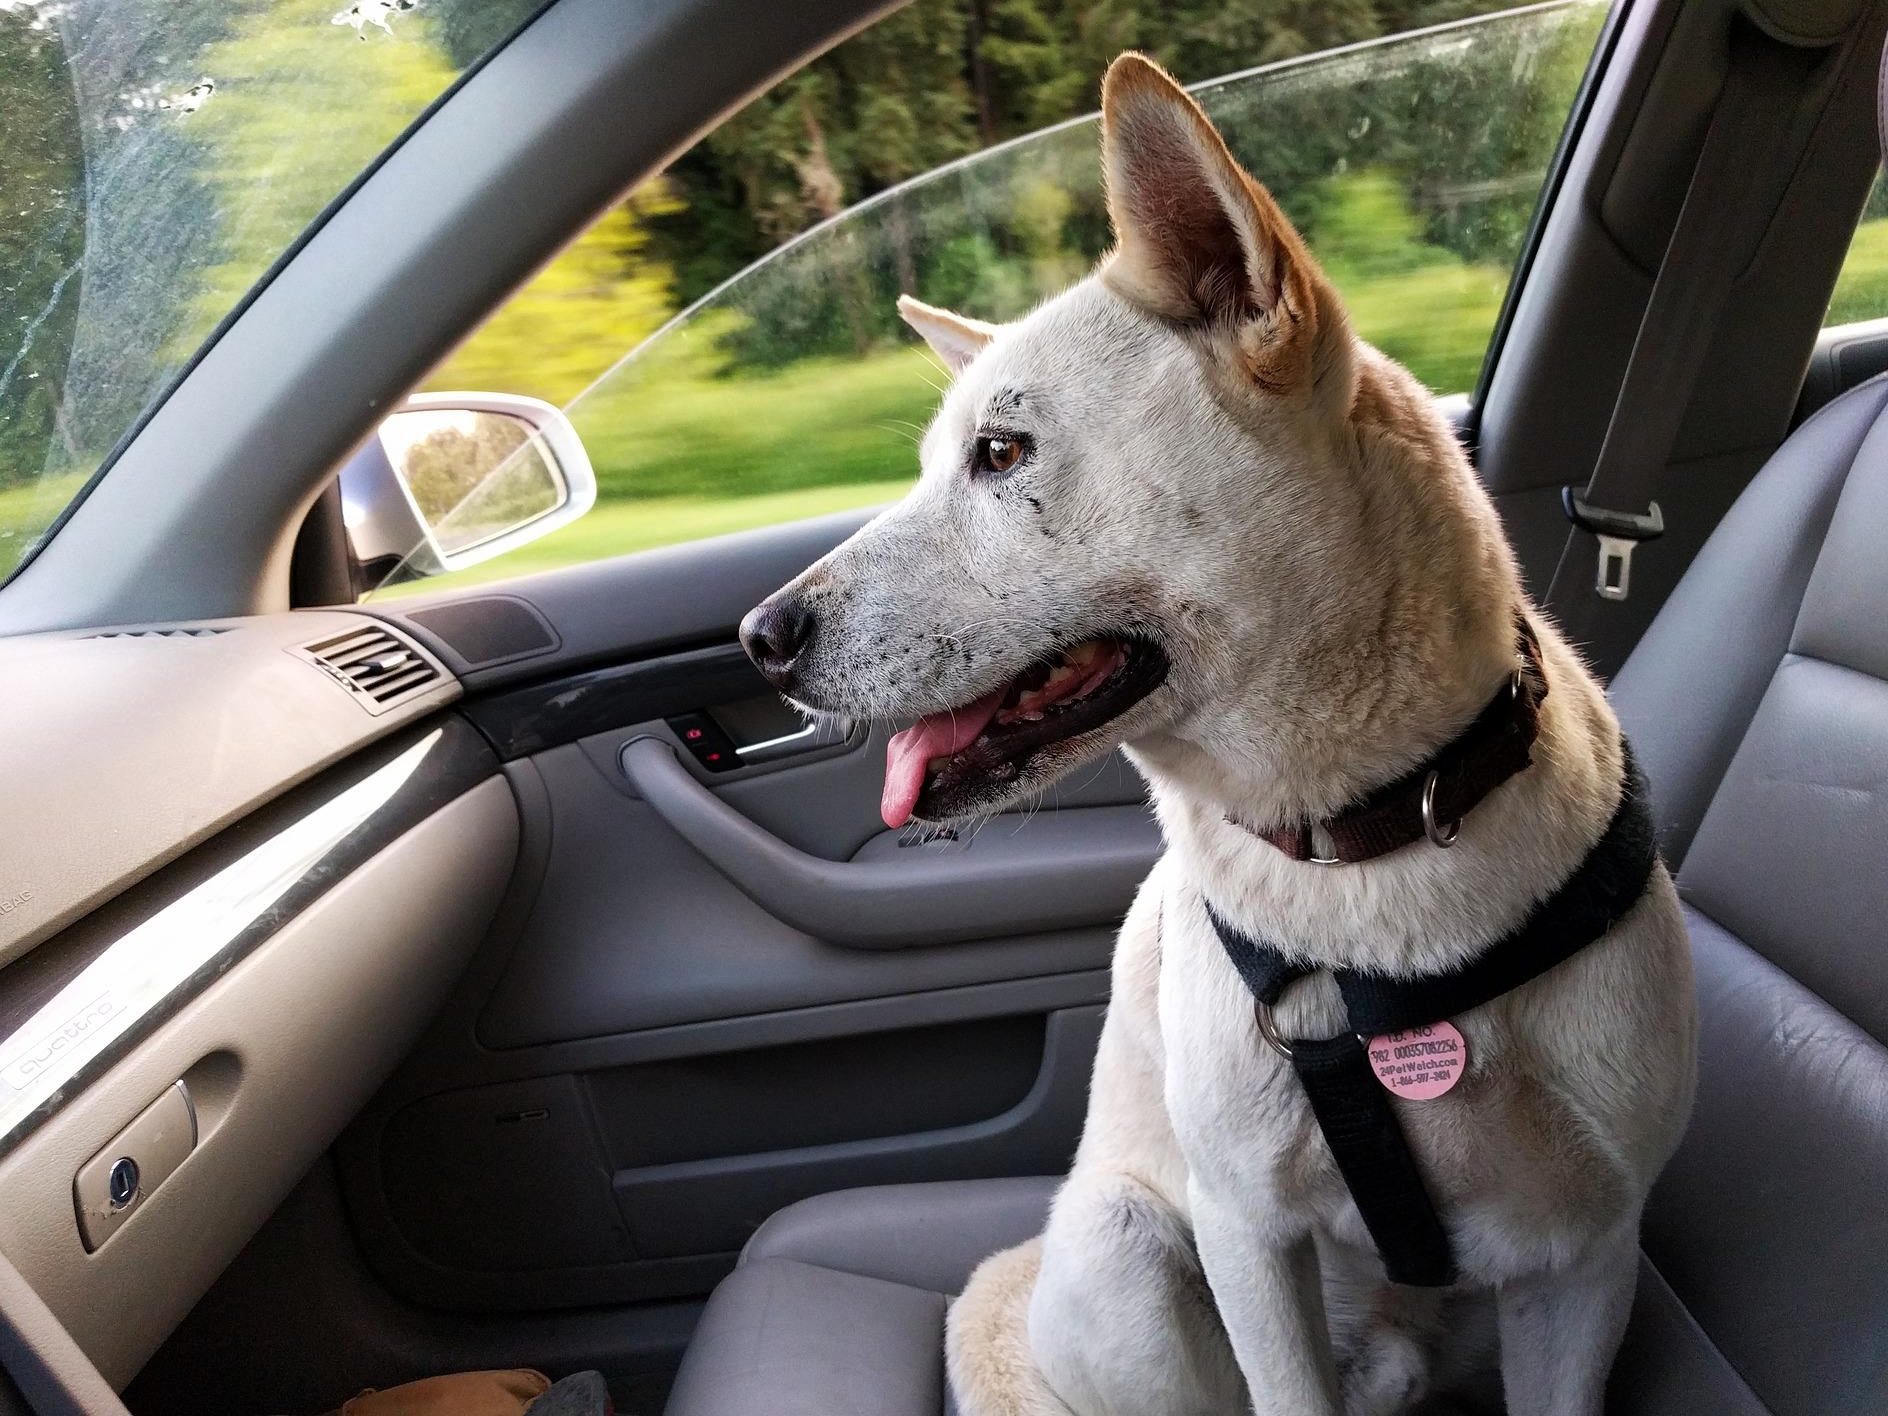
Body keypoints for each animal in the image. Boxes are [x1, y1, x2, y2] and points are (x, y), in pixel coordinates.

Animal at [736, 50, 1699, 1416]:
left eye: (1000, 452)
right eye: (935, 461)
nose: (757, 637)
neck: (1369, 854)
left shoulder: (1588, 1262)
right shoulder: (1250, 1231)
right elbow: (1279, 1377)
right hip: (1129, 1250)